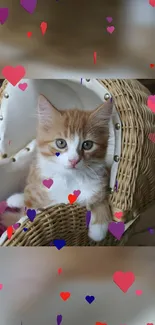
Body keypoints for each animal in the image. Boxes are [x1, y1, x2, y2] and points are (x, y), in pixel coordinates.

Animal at [0, 95, 112, 242]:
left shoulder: (102, 182)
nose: (74, 160)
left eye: (87, 145)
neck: (69, 179)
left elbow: (100, 200)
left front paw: (99, 228)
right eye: (61, 143)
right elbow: (29, 207)